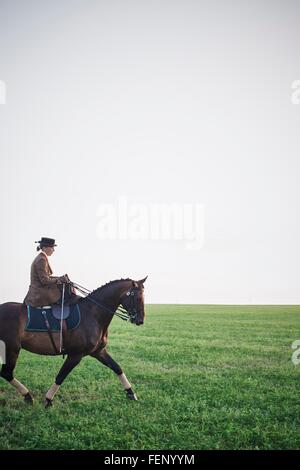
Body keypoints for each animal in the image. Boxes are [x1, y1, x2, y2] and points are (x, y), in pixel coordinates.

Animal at [0, 278, 146, 406]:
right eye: (138, 298)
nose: (140, 320)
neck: (92, 313)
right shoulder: (75, 355)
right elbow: (61, 376)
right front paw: (48, 399)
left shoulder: (99, 352)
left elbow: (117, 368)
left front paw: (131, 393)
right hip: (11, 349)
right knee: (7, 373)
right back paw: (28, 396)